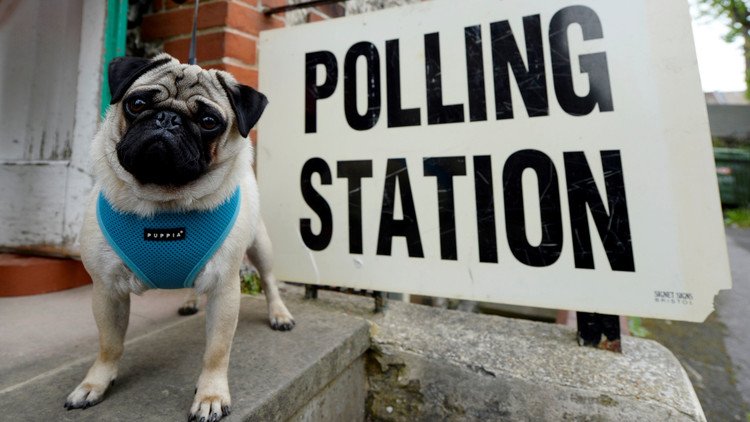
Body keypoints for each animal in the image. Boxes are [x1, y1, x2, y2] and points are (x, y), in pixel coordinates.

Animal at [66, 53, 296, 422]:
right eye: (137, 104)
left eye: (208, 121)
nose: (167, 119)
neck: (163, 206)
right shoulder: (107, 289)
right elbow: (109, 344)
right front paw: (95, 384)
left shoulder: (224, 290)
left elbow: (217, 350)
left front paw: (211, 395)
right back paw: (189, 301)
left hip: (261, 245)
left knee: (270, 280)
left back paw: (279, 314)